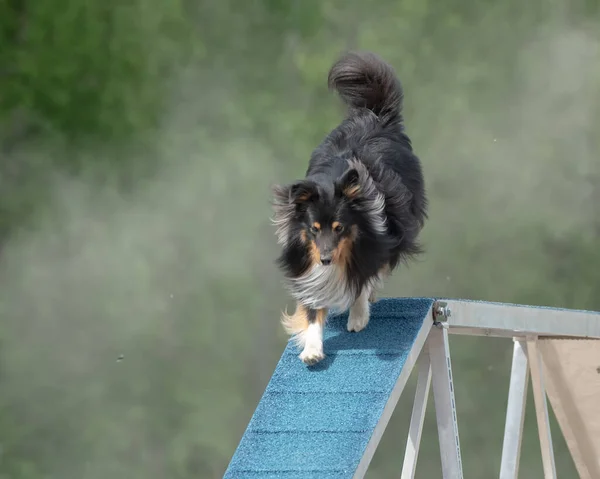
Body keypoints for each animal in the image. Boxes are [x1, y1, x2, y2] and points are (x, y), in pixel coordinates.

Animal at [272, 52, 426, 366]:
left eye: (339, 227)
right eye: (313, 229)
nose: (325, 260)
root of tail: (374, 114)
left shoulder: (378, 238)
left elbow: (363, 277)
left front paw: (358, 317)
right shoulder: (306, 264)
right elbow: (312, 308)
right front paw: (312, 350)